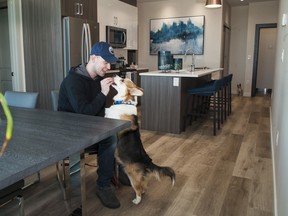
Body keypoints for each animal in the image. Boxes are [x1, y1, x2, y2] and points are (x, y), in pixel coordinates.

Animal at [104, 75, 174, 204]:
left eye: (122, 80)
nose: (114, 75)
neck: (123, 101)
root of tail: (148, 162)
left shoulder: (112, 117)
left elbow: (107, 114)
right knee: (144, 187)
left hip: (133, 177)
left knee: (139, 189)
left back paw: (137, 200)